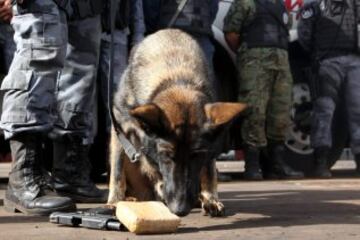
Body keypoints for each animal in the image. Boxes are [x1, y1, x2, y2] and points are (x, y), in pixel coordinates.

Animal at [108, 29, 246, 217]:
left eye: (196, 156)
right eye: (166, 155)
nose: (180, 209)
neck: (176, 77)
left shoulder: (208, 148)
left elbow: (209, 171)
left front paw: (211, 198)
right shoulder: (119, 128)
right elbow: (117, 170)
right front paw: (114, 201)